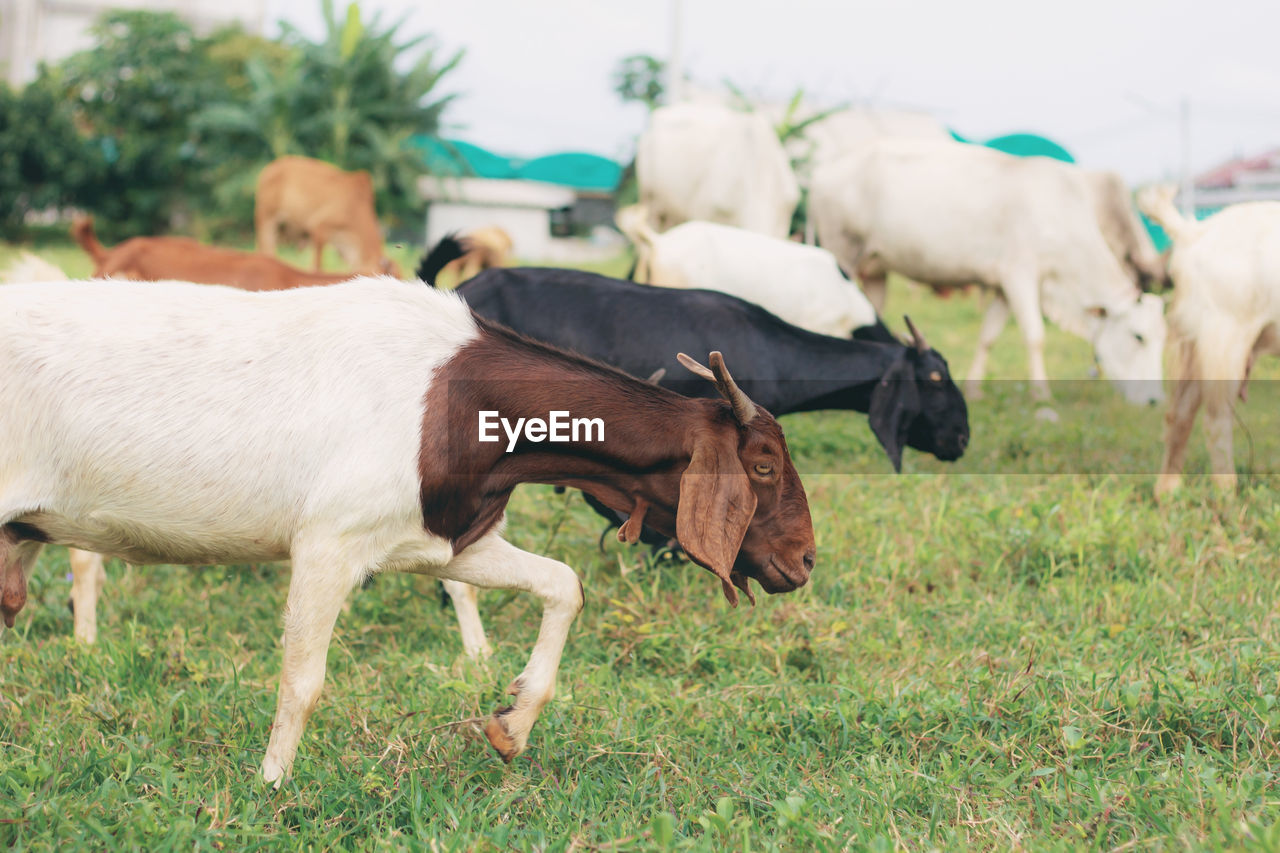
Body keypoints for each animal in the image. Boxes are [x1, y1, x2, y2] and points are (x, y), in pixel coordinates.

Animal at [808, 137, 1172, 404]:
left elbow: (988, 336)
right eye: (1138, 336)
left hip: (874, 270)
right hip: (842, 252)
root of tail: (822, 172)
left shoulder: (1001, 287)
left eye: (1161, 339)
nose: (1155, 400)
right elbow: (1035, 336)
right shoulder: (1019, 275)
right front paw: (1042, 394)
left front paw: (974, 389)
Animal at [1141, 184, 1280, 491]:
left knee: (1179, 415)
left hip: (1197, 341)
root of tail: (1192, 233)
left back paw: (1167, 492)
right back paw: (1227, 493)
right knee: (1216, 419)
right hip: (1225, 334)